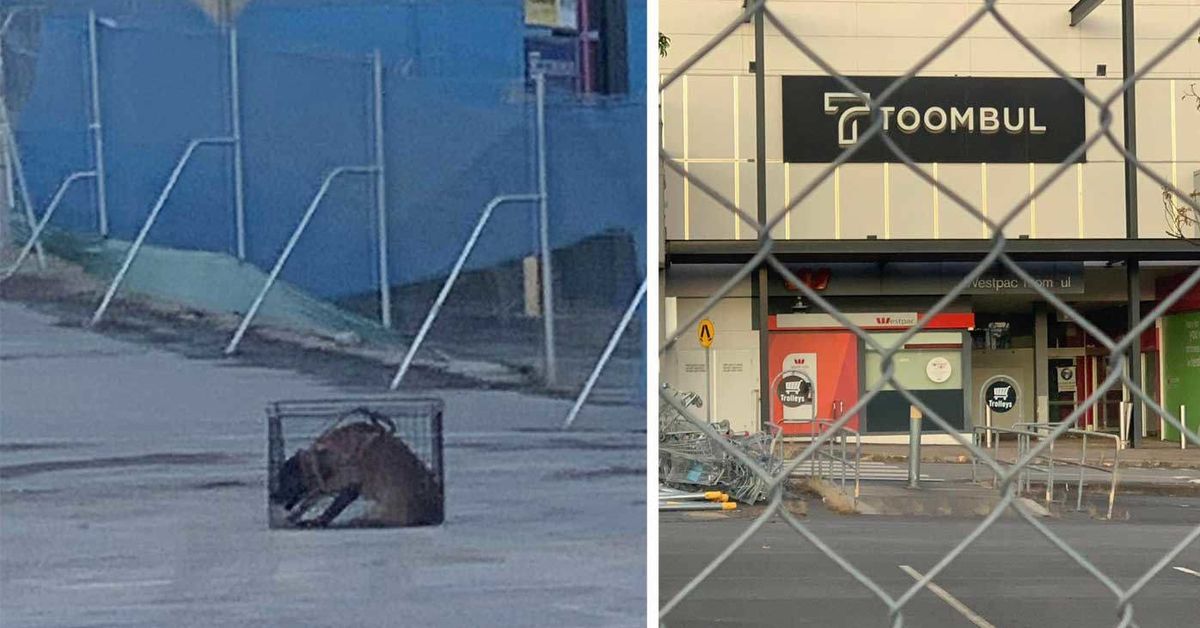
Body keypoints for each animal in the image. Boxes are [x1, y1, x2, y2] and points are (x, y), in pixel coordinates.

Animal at [271, 410, 441, 528]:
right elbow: (309, 501)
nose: (273, 496)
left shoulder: (350, 485)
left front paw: (316, 521)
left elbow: (331, 508)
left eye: (287, 481)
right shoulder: (329, 485)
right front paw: (295, 517)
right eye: (279, 478)